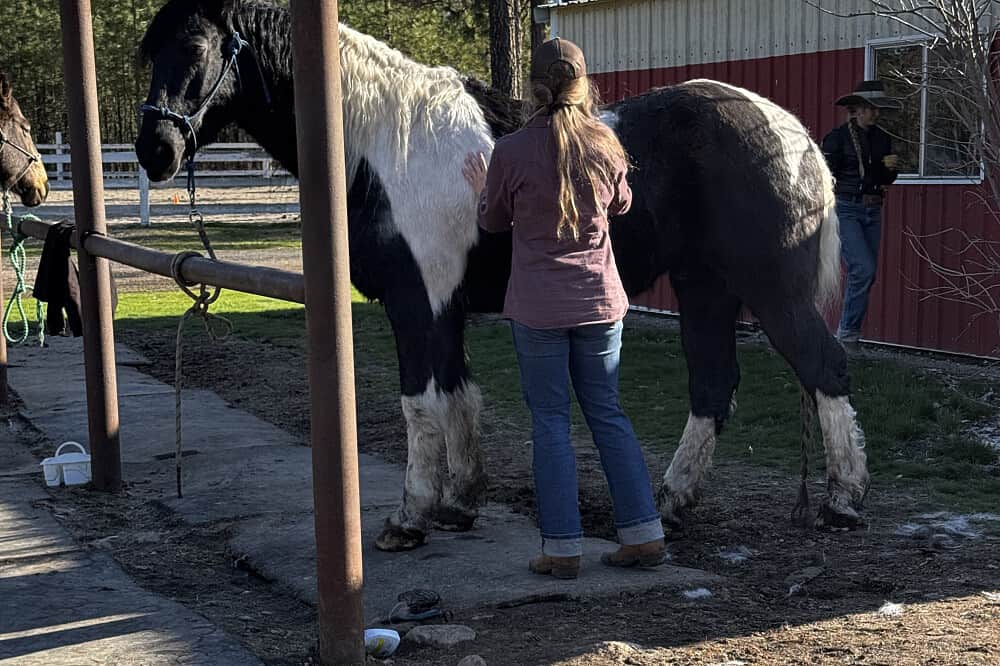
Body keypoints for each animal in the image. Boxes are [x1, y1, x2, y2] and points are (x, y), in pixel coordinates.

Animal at [135, 0, 869, 551]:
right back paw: (672, 499)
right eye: (151, 50)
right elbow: (462, 396)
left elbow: (420, 403)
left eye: (196, 47)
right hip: (704, 288)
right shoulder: (445, 308)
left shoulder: (417, 305)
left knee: (825, 369)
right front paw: (460, 503)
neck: (385, 144)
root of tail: (792, 132)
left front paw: (410, 517)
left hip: (771, 289)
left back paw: (844, 501)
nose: (155, 151)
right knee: (714, 387)